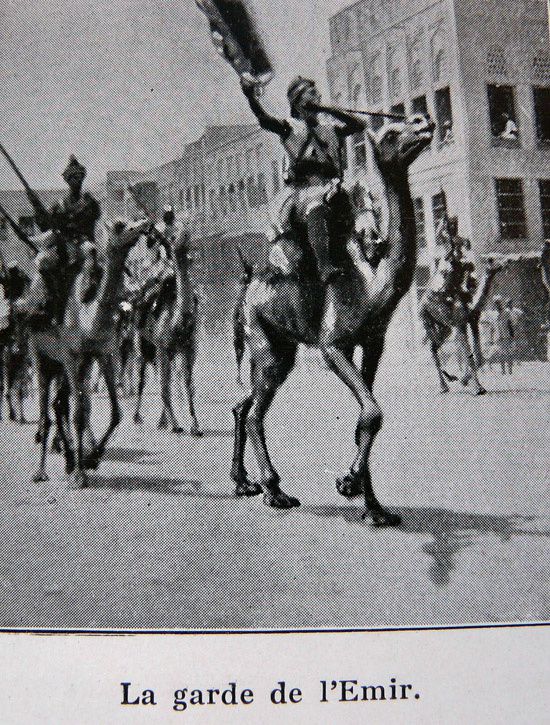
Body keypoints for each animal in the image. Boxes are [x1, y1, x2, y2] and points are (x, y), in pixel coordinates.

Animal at [27, 216, 149, 486]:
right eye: (120, 225)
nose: (144, 223)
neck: (88, 319)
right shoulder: (71, 357)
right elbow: (78, 414)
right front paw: (80, 476)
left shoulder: (101, 356)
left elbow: (115, 411)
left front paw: (92, 458)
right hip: (42, 358)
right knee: (47, 411)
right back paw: (41, 471)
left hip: (69, 366)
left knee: (59, 403)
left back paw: (70, 459)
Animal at [134, 226, 203, 436]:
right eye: (172, 237)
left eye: (187, 235)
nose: (181, 240)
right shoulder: (162, 347)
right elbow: (165, 385)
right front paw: (175, 424)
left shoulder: (188, 349)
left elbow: (188, 385)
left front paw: (195, 425)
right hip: (142, 346)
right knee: (143, 378)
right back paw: (138, 417)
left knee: (166, 378)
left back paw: (161, 421)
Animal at [232, 113, 436, 524]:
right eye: (391, 133)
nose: (424, 122)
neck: (371, 282)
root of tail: (248, 285)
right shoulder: (333, 345)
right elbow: (372, 412)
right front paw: (349, 483)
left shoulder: (372, 343)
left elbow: (364, 418)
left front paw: (375, 508)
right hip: (265, 344)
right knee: (255, 412)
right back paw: (274, 491)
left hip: (280, 348)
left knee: (244, 404)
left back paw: (244, 483)